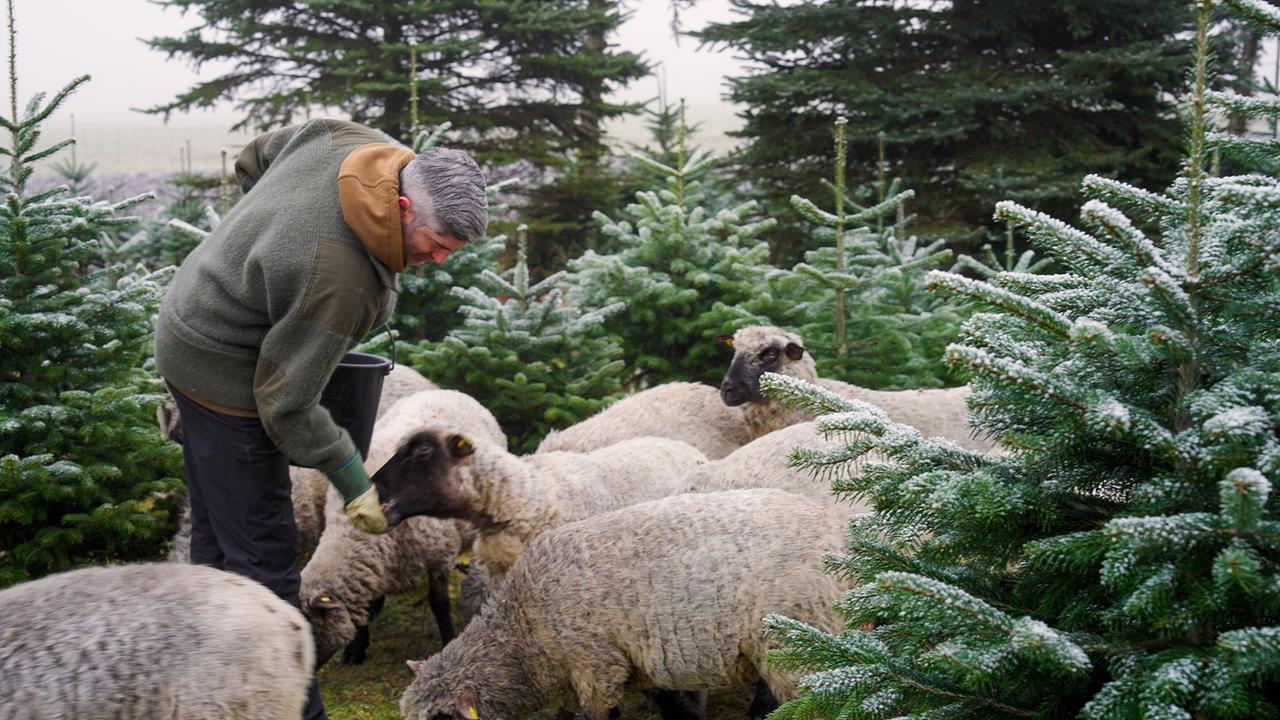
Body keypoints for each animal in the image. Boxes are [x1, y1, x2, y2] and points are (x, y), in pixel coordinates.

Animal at [301, 388, 504, 668]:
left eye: (310, 628)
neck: (355, 534)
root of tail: (446, 390)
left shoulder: (438, 556)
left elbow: (439, 603)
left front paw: (447, 640)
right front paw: (357, 648)